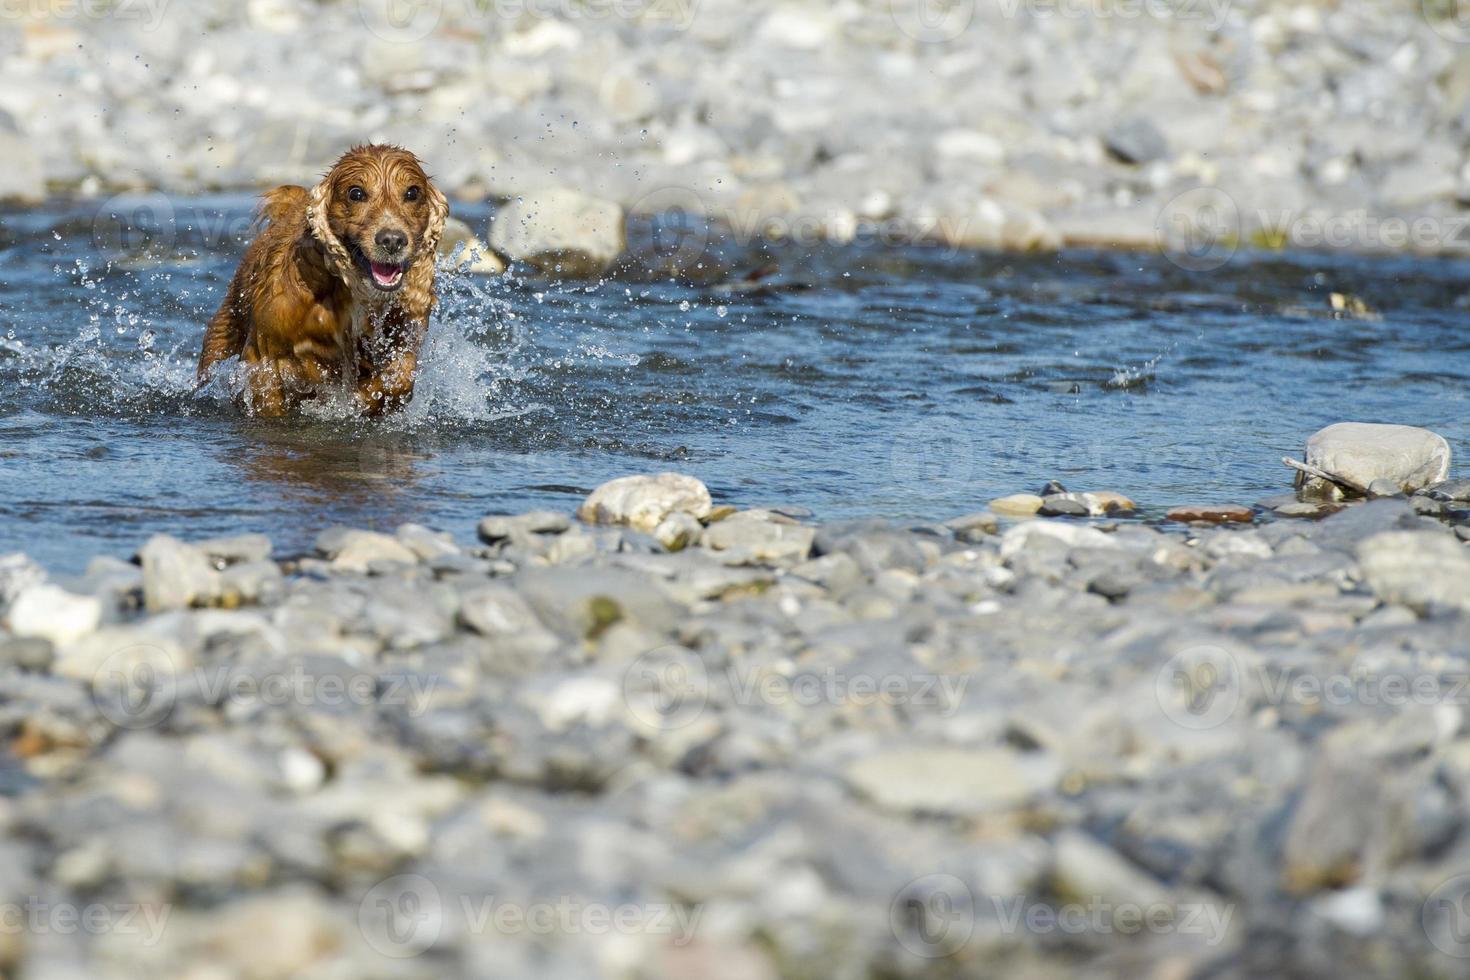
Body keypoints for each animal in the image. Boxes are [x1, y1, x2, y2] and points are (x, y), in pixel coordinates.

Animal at [195, 146, 446, 417]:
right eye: (356, 193)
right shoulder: (262, 352)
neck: (352, 291)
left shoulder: (406, 328)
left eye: (412, 192)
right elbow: (269, 394)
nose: (392, 240)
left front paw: (363, 399)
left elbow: (402, 375)